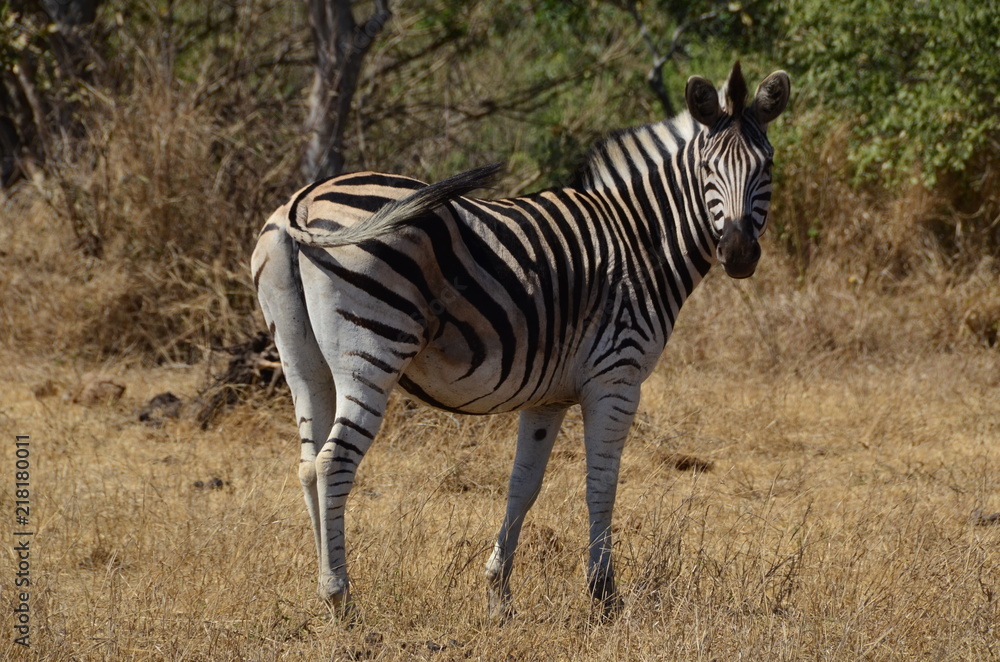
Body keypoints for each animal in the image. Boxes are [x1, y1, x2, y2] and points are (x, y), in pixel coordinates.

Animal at [251, 62, 790, 618]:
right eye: (707, 168)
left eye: (768, 165)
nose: (739, 254)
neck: (640, 237)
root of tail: (301, 201)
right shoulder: (617, 377)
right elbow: (601, 484)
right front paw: (604, 595)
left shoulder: (547, 396)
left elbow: (523, 485)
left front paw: (498, 593)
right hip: (372, 350)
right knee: (333, 462)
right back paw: (341, 597)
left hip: (300, 360)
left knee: (308, 464)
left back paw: (322, 589)